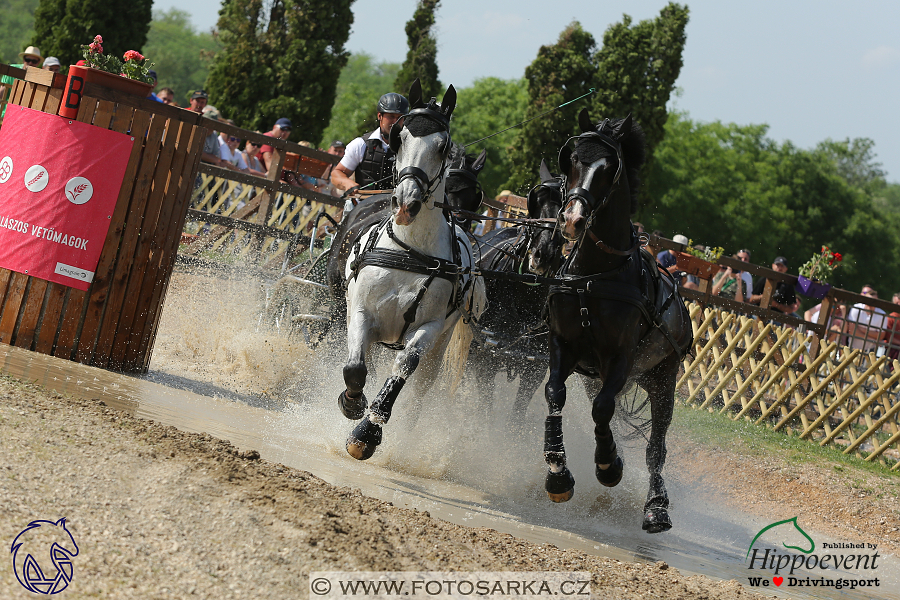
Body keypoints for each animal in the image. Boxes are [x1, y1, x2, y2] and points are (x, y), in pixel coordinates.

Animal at [472, 159, 564, 426]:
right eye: (537, 202)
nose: (543, 255)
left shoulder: (534, 368)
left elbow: (518, 413)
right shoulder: (486, 357)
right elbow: (485, 405)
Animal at [532, 110, 692, 532]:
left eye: (608, 169)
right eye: (573, 160)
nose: (572, 219)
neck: (594, 274)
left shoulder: (622, 358)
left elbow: (603, 411)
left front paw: (609, 465)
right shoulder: (563, 345)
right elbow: (555, 394)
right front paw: (558, 473)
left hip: (662, 379)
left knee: (656, 447)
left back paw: (656, 506)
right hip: (600, 375)